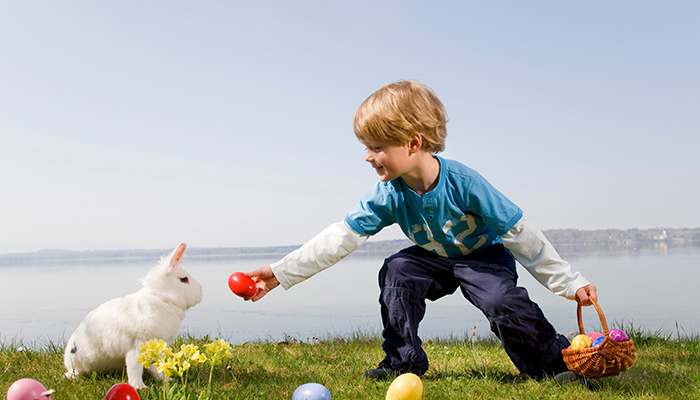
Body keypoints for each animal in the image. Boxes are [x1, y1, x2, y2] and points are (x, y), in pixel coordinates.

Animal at [63, 242, 202, 390]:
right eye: (184, 279)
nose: (200, 291)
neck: (162, 299)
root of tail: (67, 360)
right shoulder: (136, 347)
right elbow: (135, 368)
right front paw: (139, 387)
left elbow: (156, 365)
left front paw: (166, 379)